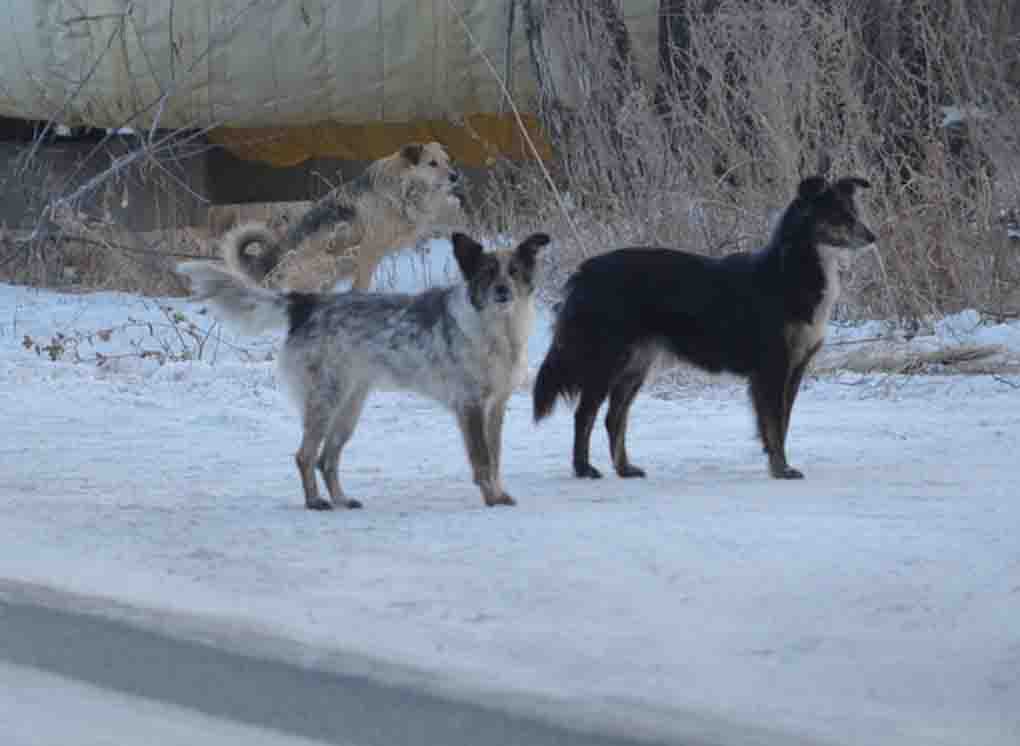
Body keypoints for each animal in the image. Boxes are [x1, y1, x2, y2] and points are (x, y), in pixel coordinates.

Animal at [224, 142, 467, 291]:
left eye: (447, 160)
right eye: (432, 163)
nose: (455, 176)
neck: (403, 187)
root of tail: (271, 262)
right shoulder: (369, 250)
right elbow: (362, 285)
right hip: (331, 263)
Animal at [534, 176, 877, 477]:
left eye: (854, 212)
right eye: (838, 215)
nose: (873, 237)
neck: (790, 270)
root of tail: (585, 272)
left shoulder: (795, 367)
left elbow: (782, 423)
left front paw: (776, 463)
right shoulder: (772, 368)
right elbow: (774, 424)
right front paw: (781, 469)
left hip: (635, 364)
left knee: (613, 418)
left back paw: (624, 469)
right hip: (606, 360)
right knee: (585, 415)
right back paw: (583, 469)